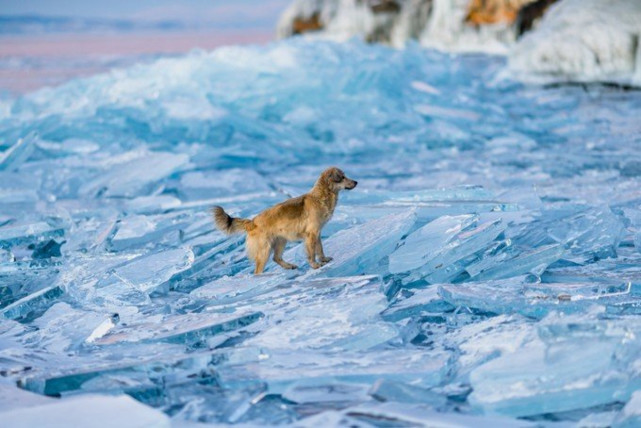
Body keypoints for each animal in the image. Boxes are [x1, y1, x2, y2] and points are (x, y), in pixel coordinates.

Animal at [214, 167, 356, 274]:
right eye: (342, 177)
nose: (356, 182)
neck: (321, 197)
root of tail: (252, 222)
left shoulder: (317, 233)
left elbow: (320, 249)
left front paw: (324, 259)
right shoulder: (311, 234)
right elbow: (311, 253)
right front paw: (315, 265)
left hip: (281, 241)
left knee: (276, 258)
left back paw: (289, 266)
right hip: (265, 249)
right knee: (258, 270)